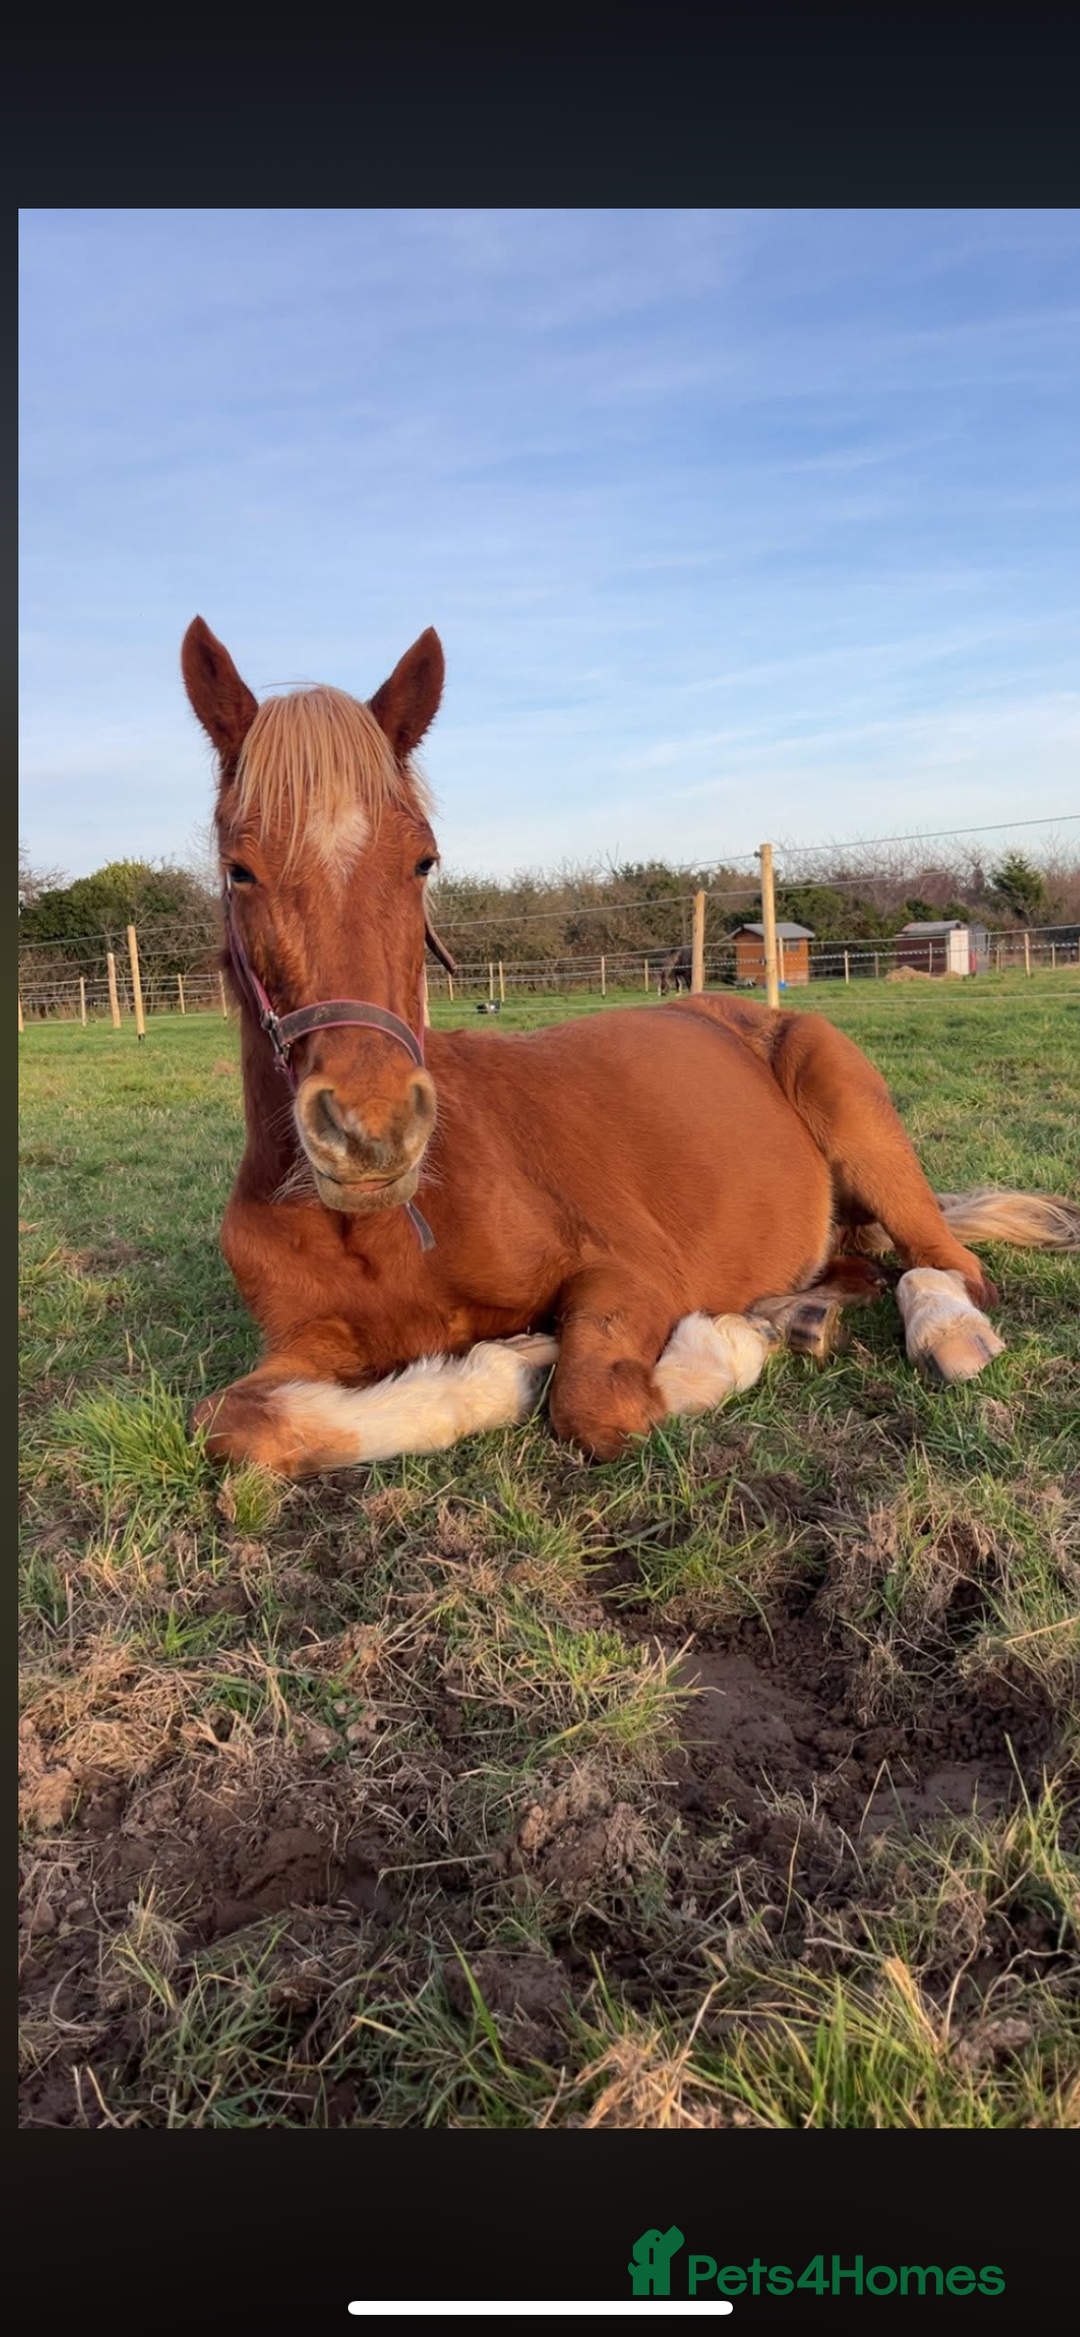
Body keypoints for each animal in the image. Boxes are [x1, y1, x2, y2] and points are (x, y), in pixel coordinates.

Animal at [182, 619, 1079, 1478]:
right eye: (239, 870)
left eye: (422, 861)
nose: (372, 1132)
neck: (386, 1231)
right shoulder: (306, 1345)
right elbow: (232, 1422)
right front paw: (504, 1365)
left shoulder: (629, 1272)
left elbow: (595, 1401)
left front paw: (713, 1343)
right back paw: (799, 1313)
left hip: (860, 1123)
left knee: (945, 1265)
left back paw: (938, 1333)